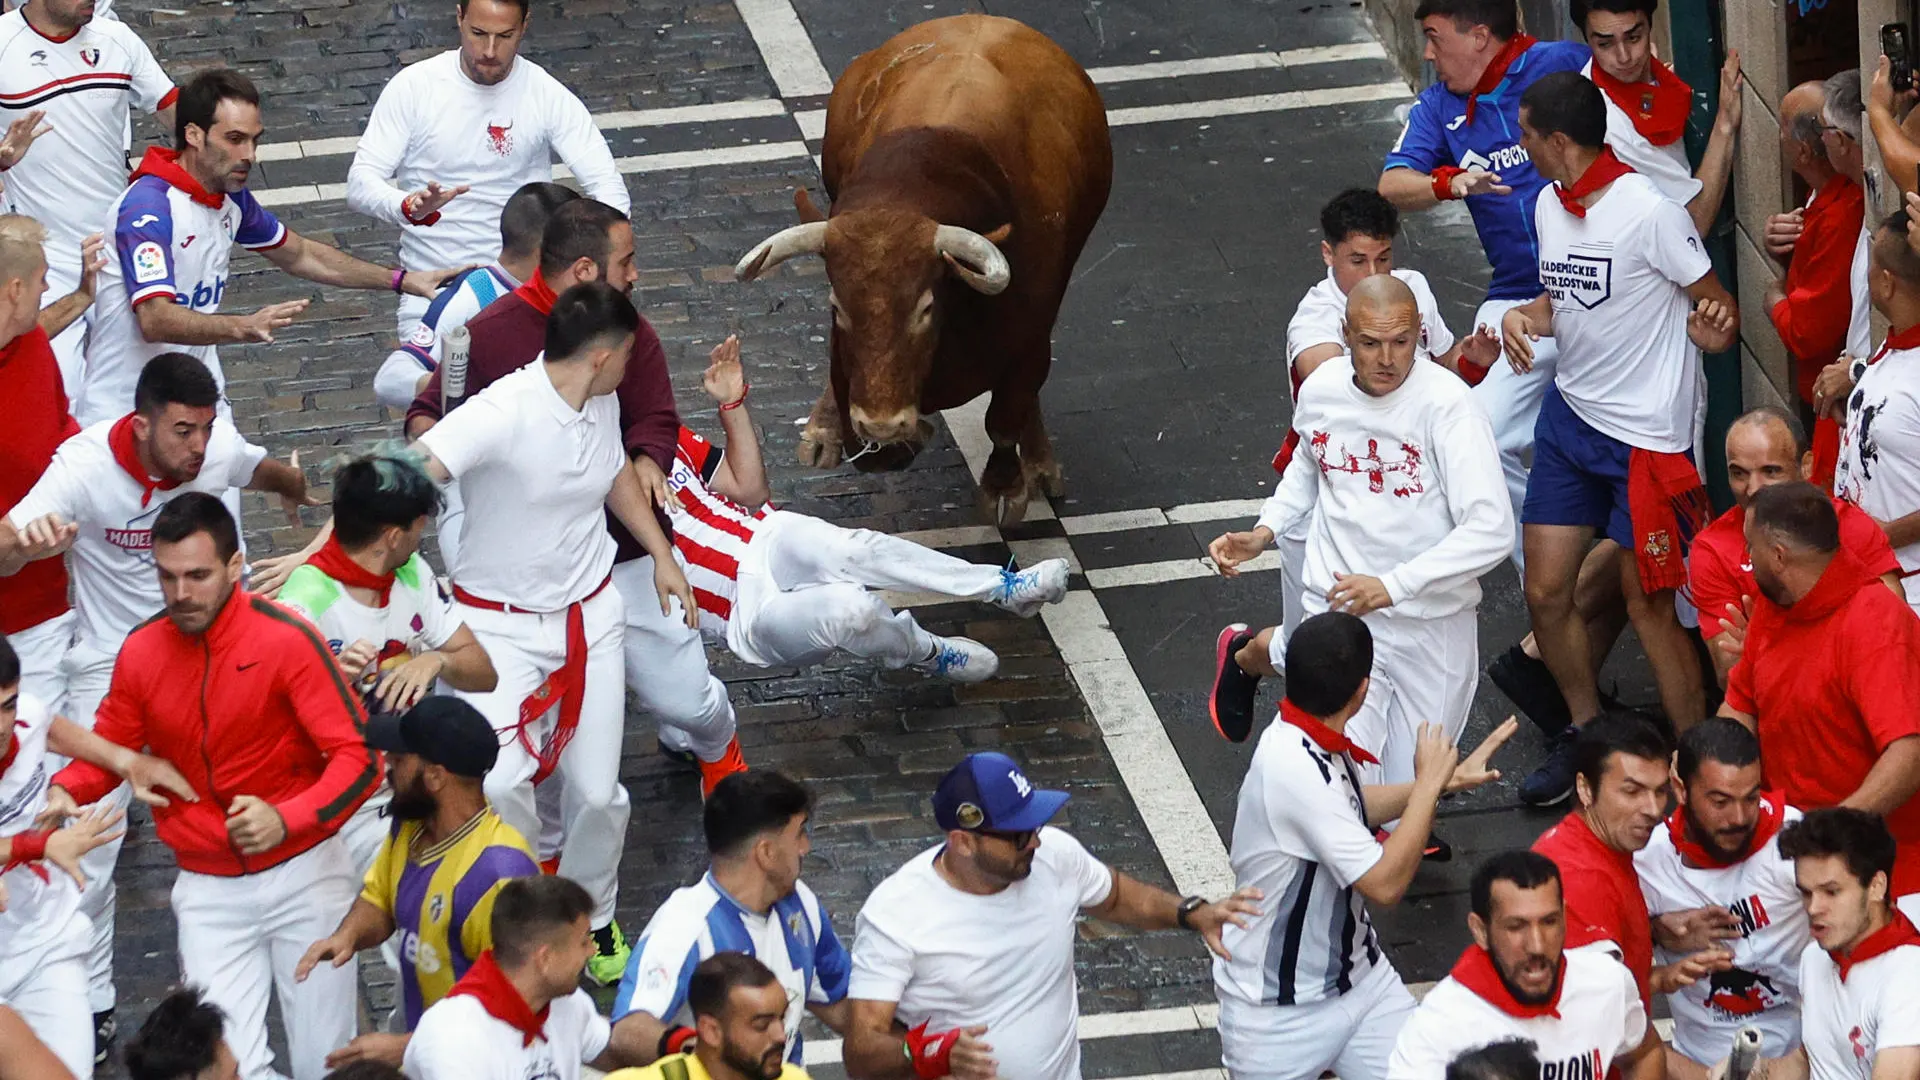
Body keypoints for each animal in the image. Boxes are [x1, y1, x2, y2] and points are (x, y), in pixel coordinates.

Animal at [729, 14, 1113, 522]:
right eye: (837, 307)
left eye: (925, 308)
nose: (882, 424)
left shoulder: (1031, 332)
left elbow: (1006, 416)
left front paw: (1007, 484)